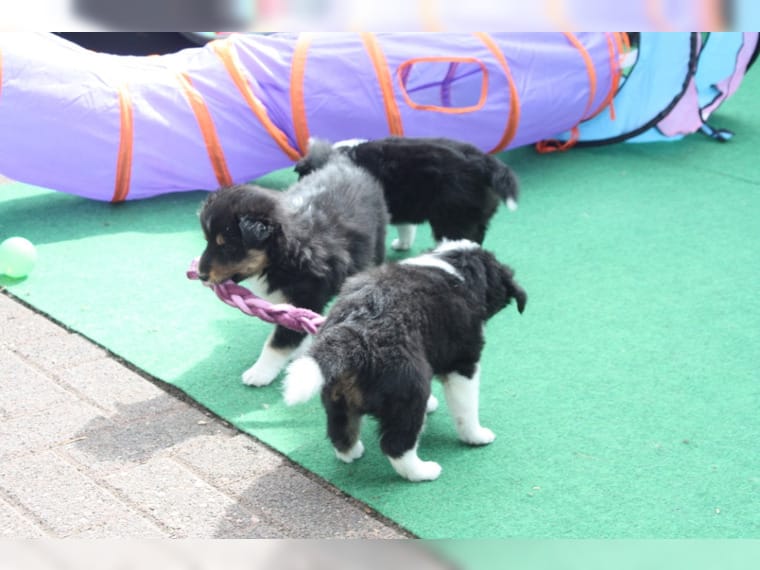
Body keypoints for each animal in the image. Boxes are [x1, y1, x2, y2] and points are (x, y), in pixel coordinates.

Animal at [197, 155, 386, 386]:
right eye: (208, 241)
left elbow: (279, 340)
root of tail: (344, 163)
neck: (282, 258)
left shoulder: (305, 296)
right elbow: (295, 325)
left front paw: (259, 373)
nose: (201, 275)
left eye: (227, 247)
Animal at [282, 239, 524, 480]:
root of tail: (354, 332)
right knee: (396, 444)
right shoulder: (463, 363)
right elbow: (466, 407)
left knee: (341, 429)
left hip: (336, 395)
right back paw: (423, 471)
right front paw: (477, 436)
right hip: (409, 390)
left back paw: (352, 452)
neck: (456, 267)